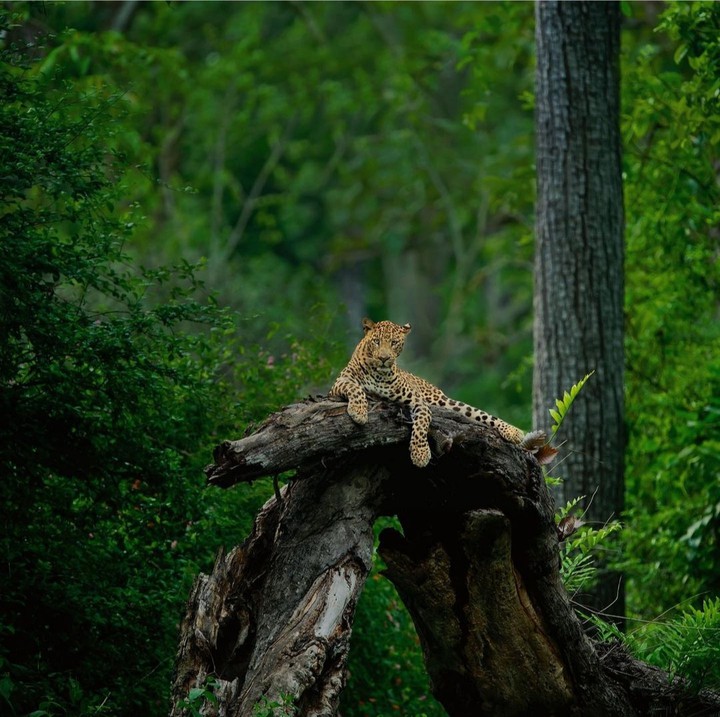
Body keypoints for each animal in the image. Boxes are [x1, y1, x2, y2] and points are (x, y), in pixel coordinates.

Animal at [329, 318, 546, 468]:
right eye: (376, 341)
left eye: (394, 343)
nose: (384, 358)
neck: (379, 373)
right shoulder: (340, 383)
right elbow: (356, 388)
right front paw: (359, 412)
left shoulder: (419, 402)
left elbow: (421, 426)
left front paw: (420, 454)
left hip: (444, 401)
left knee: (481, 414)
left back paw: (513, 432)